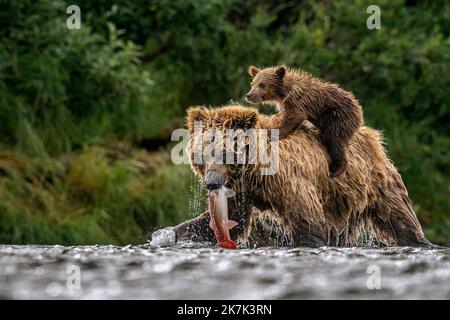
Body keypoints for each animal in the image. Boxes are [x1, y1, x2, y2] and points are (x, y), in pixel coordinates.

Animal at [174, 105, 430, 248]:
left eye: (224, 153)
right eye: (200, 155)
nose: (211, 183)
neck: (256, 172)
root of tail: (372, 134)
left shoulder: (289, 180)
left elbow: (306, 219)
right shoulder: (242, 191)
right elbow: (227, 220)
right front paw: (172, 233)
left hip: (374, 181)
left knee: (398, 217)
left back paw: (420, 241)